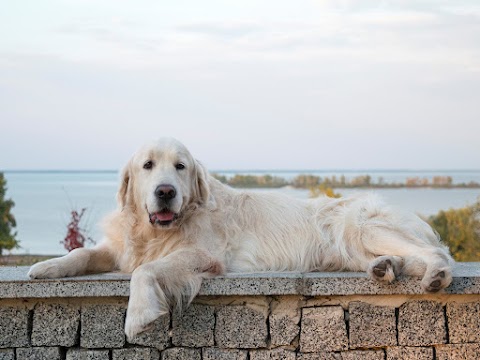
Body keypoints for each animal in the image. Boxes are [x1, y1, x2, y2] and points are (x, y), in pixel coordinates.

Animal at [28, 136, 456, 338]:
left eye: (180, 167)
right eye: (148, 165)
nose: (165, 191)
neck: (157, 230)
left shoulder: (203, 254)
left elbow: (145, 271)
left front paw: (139, 315)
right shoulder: (122, 247)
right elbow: (84, 253)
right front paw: (46, 267)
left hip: (362, 224)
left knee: (434, 252)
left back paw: (435, 274)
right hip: (353, 244)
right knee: (399, 256)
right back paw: (385, 267)